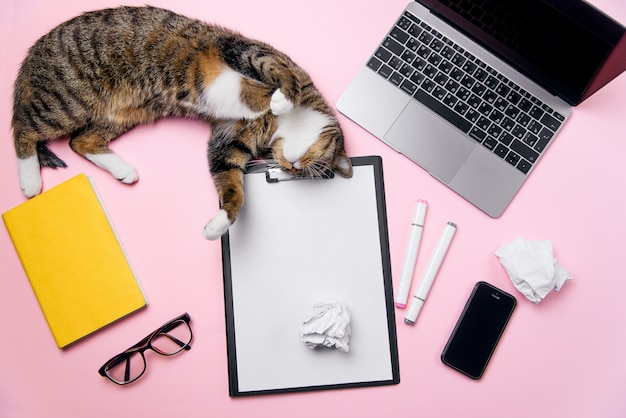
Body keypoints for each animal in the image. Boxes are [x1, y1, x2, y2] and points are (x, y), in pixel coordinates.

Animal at [12, 5, 352, 238]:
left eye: (300, 173)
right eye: (309, 165)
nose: (292, 166)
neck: (275, 127)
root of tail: (33, 53)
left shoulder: (227, 139)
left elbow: (232, 187)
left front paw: (218, 225)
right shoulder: (245, 52)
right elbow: (276, 75)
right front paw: (279, 98)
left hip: (121, 115)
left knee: (79, 141)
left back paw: (123, 171)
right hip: (67, 101)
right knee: (23, 128)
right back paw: (30, 182)